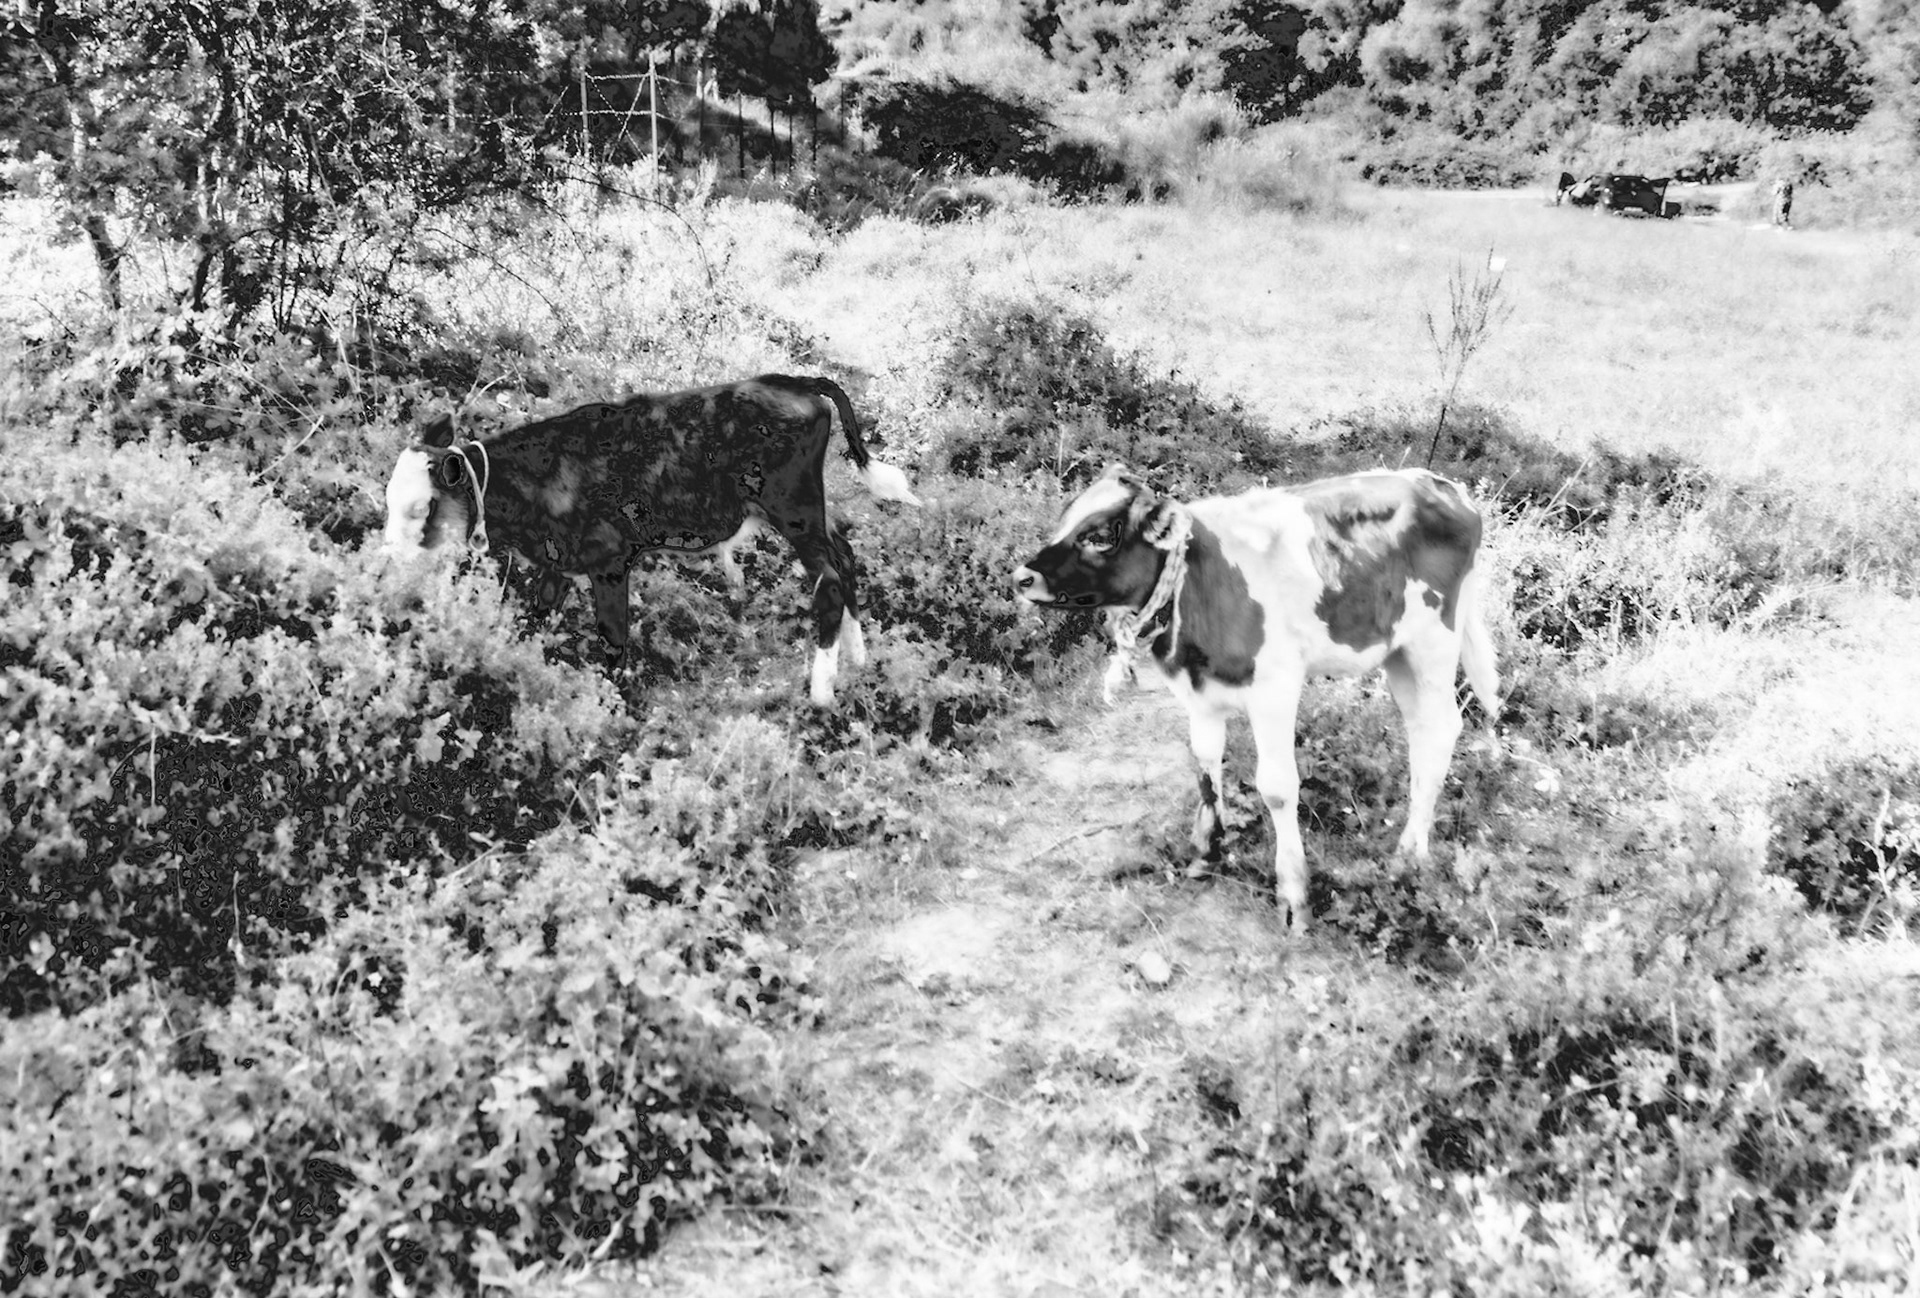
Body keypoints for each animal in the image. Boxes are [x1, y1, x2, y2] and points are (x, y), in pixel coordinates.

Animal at [383, 374, 921, 705]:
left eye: (422, 508)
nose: (386, 566)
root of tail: (788, 381)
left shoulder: (608, 562)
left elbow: (613, 638)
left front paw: (614, 703)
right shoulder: (558, 561)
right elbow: (535, 619)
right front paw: (520, 665)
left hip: (793, 510)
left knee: (829, 580)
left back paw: (821, 692)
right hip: (810, 510)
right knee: (846, 559)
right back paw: (858, 658)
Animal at [1013, 466, 1499, 933]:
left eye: (1100, 535)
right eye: (1065, 520)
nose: (1022, 576)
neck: (1199, 583)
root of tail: (1441, 485)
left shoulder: (1275, 689)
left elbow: (1278, 788)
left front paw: (1294, 897)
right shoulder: (1199, 695)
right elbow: (1205, 766)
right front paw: (1205, 855)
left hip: (1433, 642)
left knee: (1441, 729)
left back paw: (1410, 853)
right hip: (1396, 651)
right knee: (1420, 730)